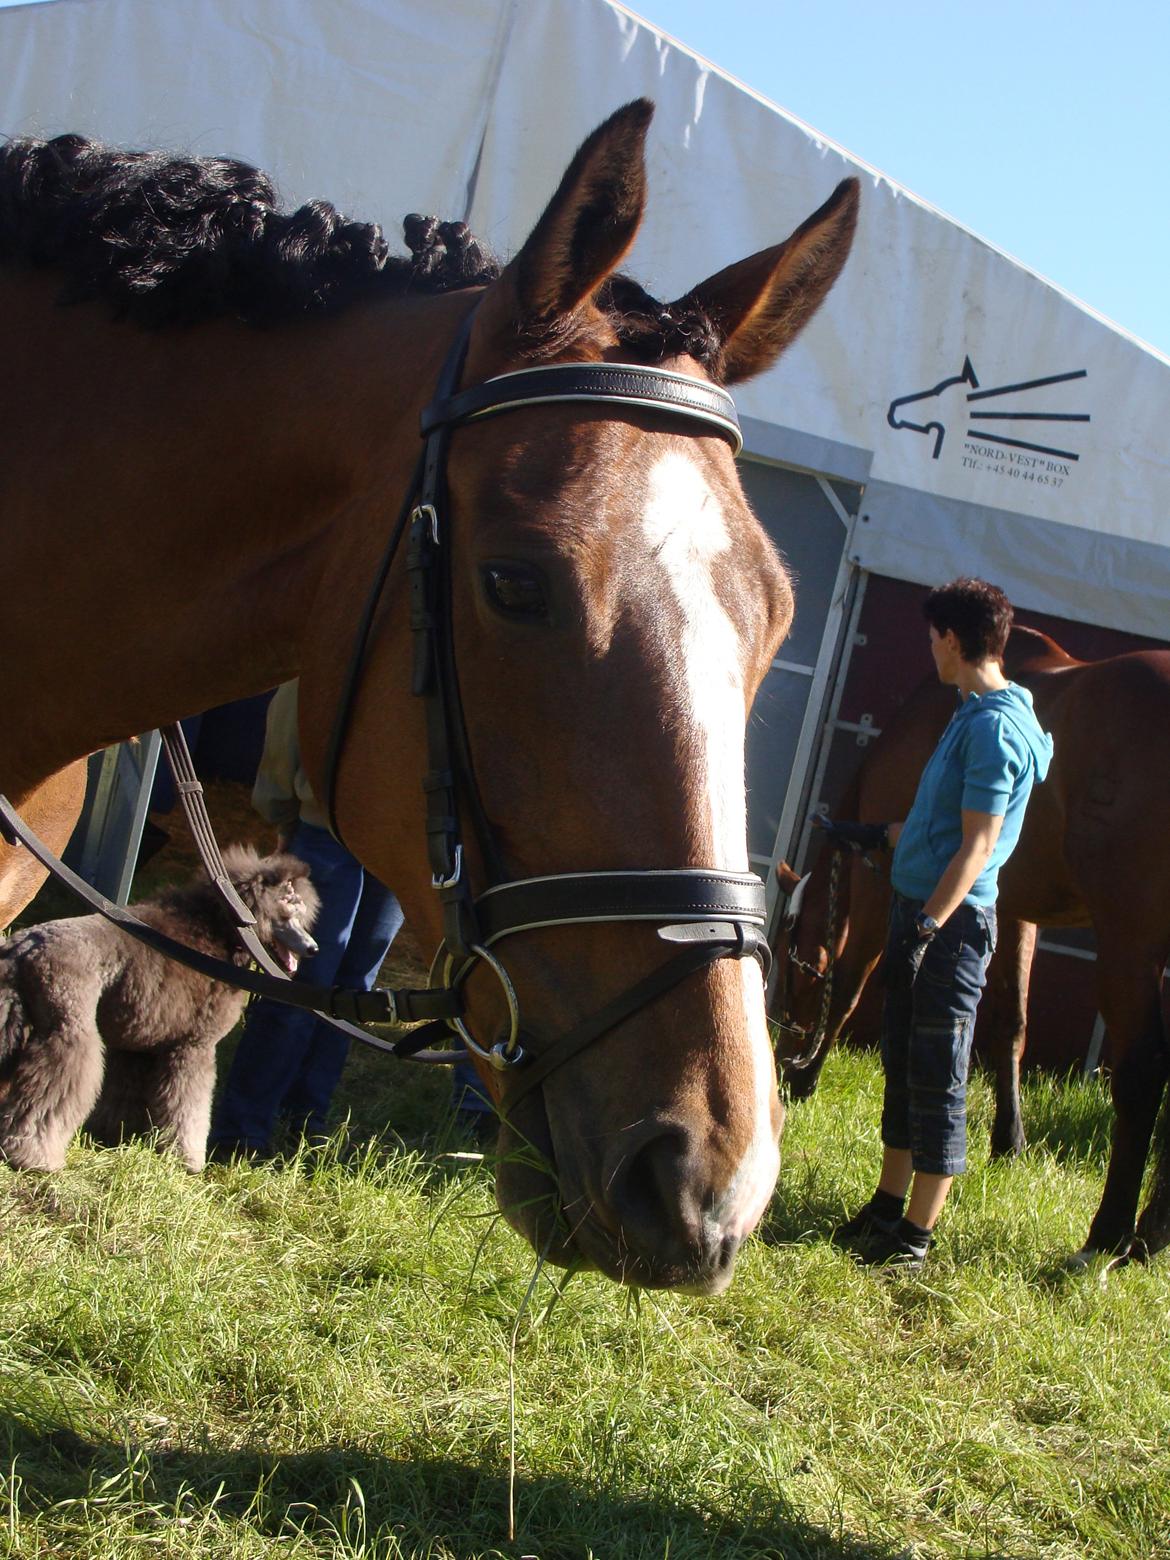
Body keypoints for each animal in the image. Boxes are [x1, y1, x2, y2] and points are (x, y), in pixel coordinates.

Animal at [773, 627, 1170, 1260]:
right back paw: (1152, 1234)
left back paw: (1107, 1238)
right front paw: (1010, 1142)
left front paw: (808, 1080)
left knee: (1143, 1070)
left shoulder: (885, 882)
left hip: (1128, 943)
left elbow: (853, 983)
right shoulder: (1009, 909)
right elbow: (1011, 1023)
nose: (784, 1051)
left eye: (793, 967)